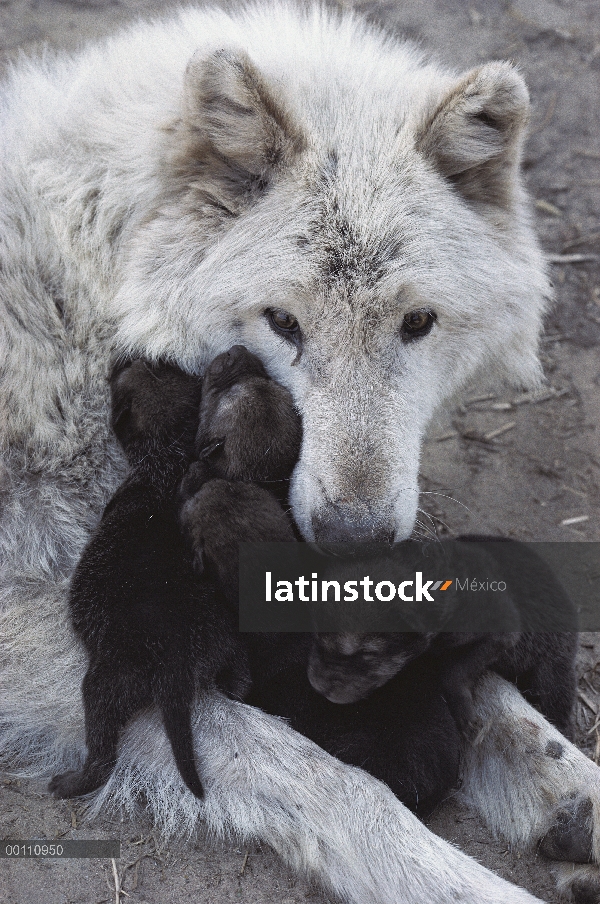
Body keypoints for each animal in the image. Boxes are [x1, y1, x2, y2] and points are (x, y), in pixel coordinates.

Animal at [1, 3, 600, 900]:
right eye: (283, 322)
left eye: (416, 323)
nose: (353, 539)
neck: (92, 286)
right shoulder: (51, 625)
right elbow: (326, 782)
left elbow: (500, 703)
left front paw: (575, 789)